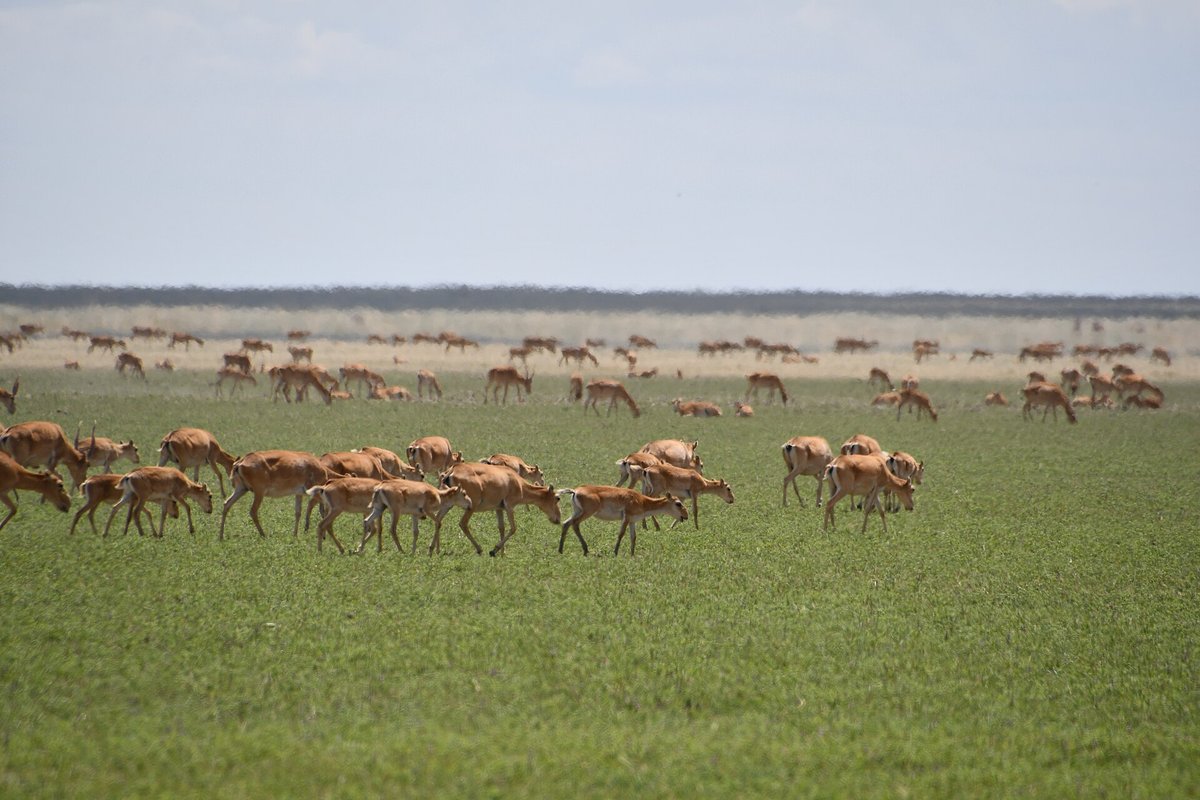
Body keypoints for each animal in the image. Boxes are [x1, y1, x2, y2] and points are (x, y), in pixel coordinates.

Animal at [556, 486, 687, 557]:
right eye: (678, 503)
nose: (686, 516)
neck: (642, 501)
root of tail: (575, 491)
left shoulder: (632, 521)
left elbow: (633, 537)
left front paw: (632, 554)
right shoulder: (626, 518)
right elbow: (621, 534)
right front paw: (615, 552)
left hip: (577, 512)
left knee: (566, 523)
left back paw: (560, 550)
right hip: (586, 513)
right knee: (575, 524)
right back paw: (585, 549)